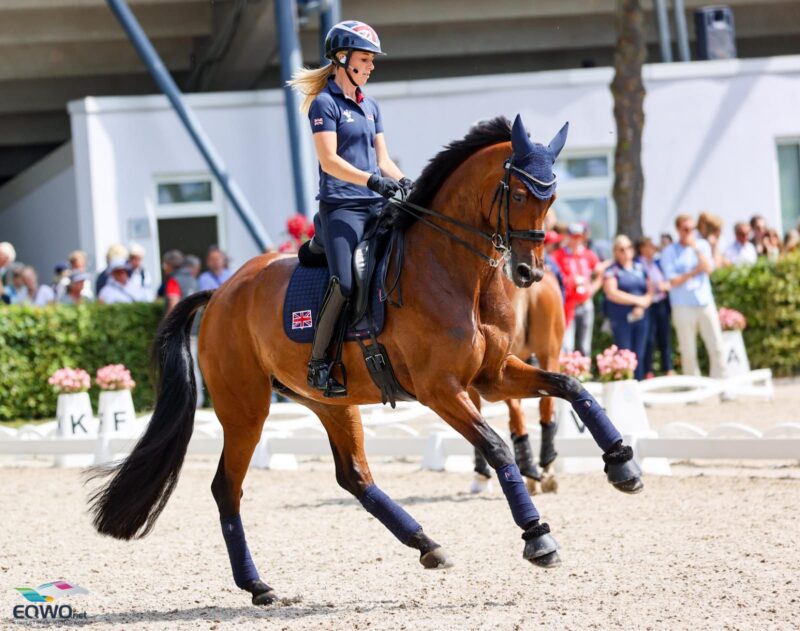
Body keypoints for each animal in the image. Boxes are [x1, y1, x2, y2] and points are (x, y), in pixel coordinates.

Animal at [472, 270, 564, 496]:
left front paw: (481, 476)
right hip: (549, 355)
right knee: (545, 407)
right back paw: (546, 471)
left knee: (517, 413)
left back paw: (530, 471)